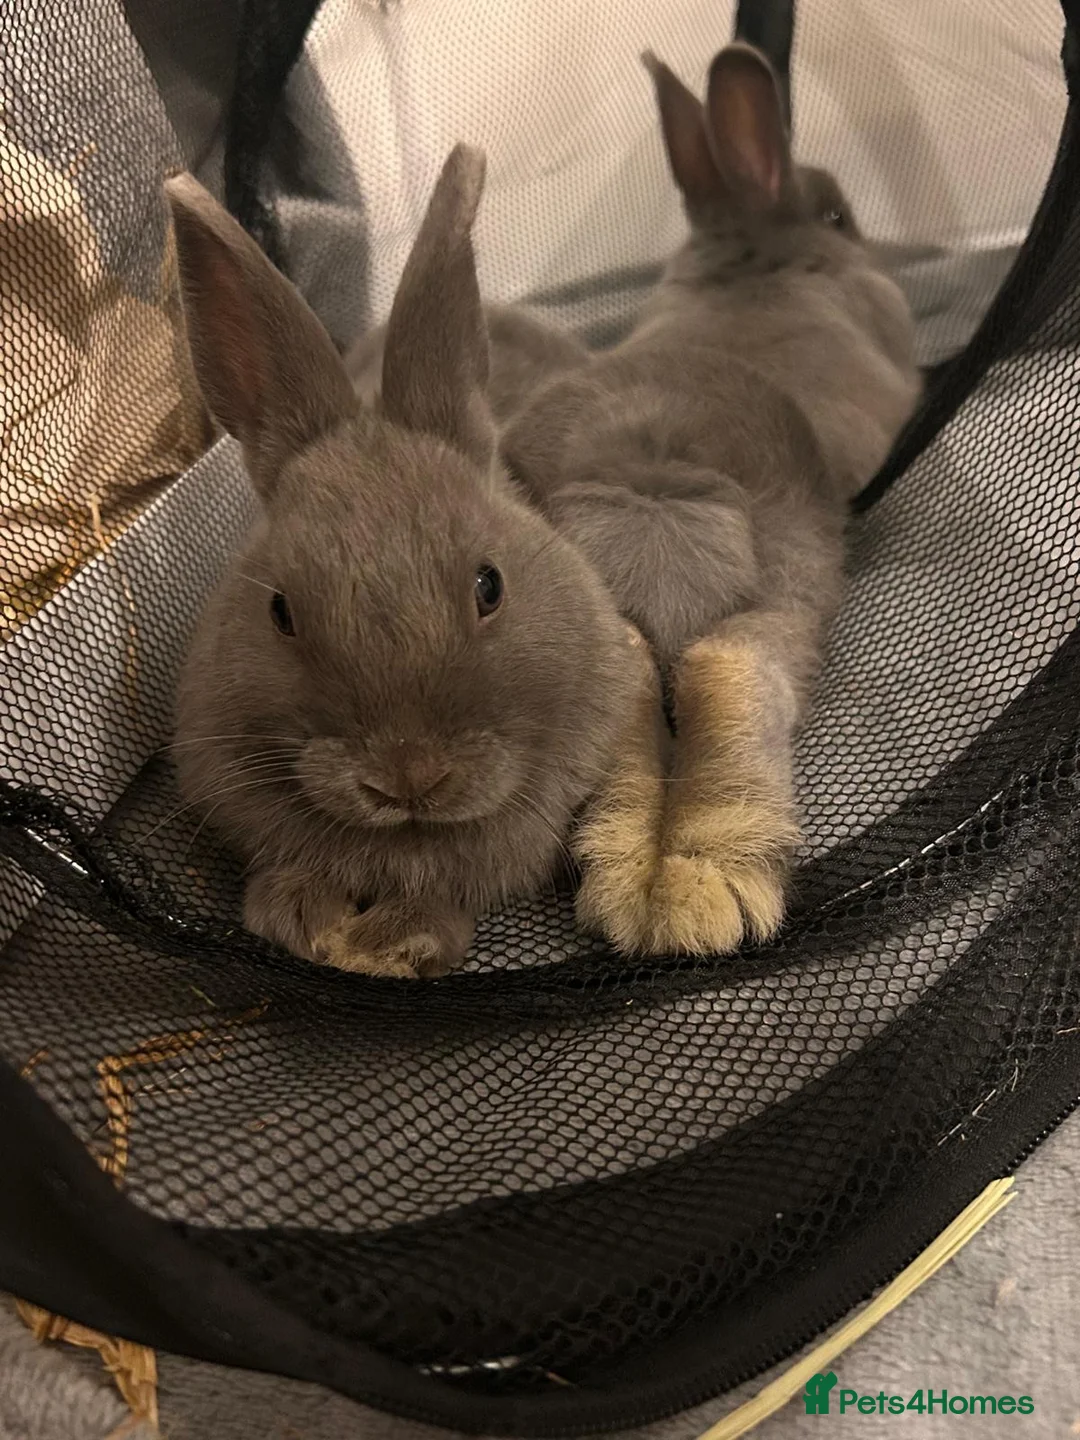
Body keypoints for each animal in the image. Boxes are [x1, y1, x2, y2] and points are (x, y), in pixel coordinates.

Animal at [165, 145, 643, 978]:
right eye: (279, 612)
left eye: (490, 585)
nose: (408, 776)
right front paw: (306, 919)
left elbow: (450, 895)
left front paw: (396, 941)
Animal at [492, 43, 922, 957]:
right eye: (838, 215)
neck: (753, 252)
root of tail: (648, 468)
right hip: (791, 587)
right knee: (731, 669)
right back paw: (701, 893)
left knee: (623, 671)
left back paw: (633, 882)